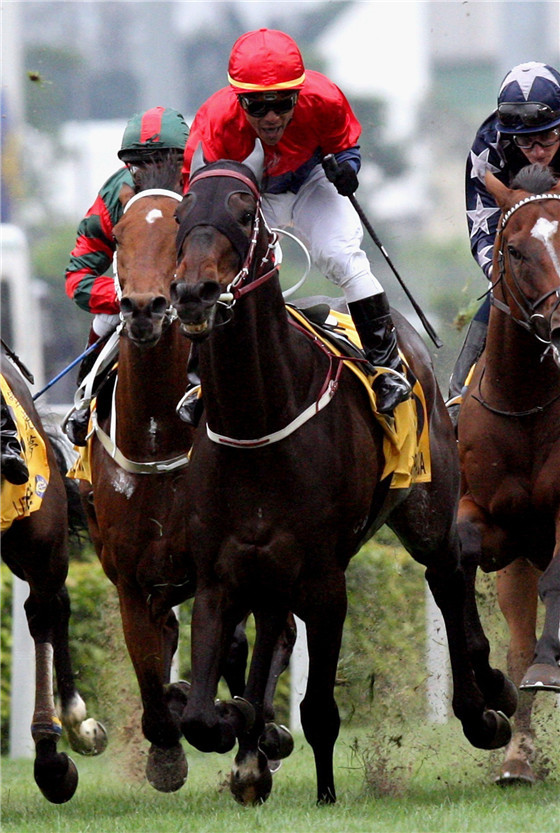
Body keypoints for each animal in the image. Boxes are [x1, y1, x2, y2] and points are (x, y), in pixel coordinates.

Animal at [170, 145, 516, 808]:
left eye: (244, 211)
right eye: (181, 213)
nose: (194, 291)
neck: (258, 419)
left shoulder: (325, 578)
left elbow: (319, 709)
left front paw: (320, 785)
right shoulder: (219, 572)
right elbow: (202, 716)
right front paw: (238, 728)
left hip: (426, 510)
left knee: (449, 572)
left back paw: (485, 705)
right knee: (273, 634)